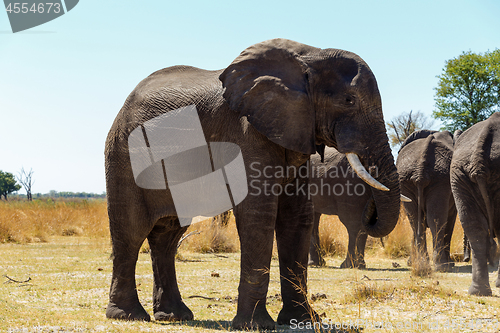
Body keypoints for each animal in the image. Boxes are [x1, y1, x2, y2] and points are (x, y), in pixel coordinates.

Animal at [103, 37, 400, 328]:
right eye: (349, 100)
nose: (371, 212)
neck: (309, 55)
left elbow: (297, 216)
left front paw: (302, 320)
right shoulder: (247, 133)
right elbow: (258, 214)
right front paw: (255, 324)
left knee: (167, 236)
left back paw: (175, 316)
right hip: (124, 155)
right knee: (131, 232)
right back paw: (128, 315)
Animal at [396, 128, 458, 272]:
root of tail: (420, 169)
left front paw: (411, 262)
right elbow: (450, 220)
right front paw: (451, 263)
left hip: (407, 181)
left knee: (415, 220)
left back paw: (423, 263)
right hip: (440, 179)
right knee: (436, 219)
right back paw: (442, 266)